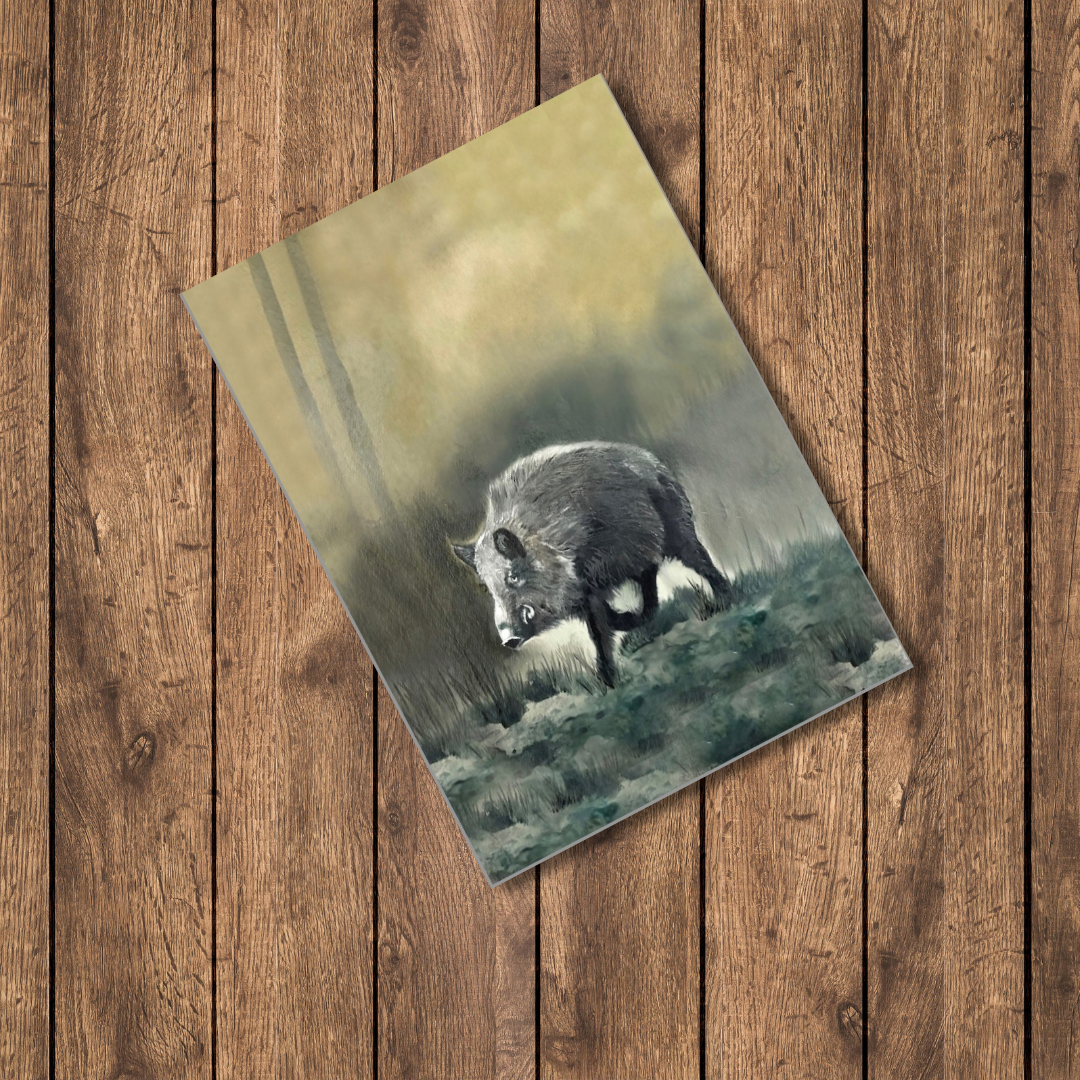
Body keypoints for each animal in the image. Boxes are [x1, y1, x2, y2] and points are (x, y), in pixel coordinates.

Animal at [452, 441, 732, 687]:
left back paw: (724, 601)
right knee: (650, 587)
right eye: (487, 588)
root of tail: (655, 464)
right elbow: (602, 622)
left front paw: (608, 682)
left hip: (678, 530)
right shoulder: (585, 594)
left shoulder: (593, 581)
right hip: (643, 556)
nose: (509, 638)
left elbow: (598, 632)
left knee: (700, 562)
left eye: (513, 577)